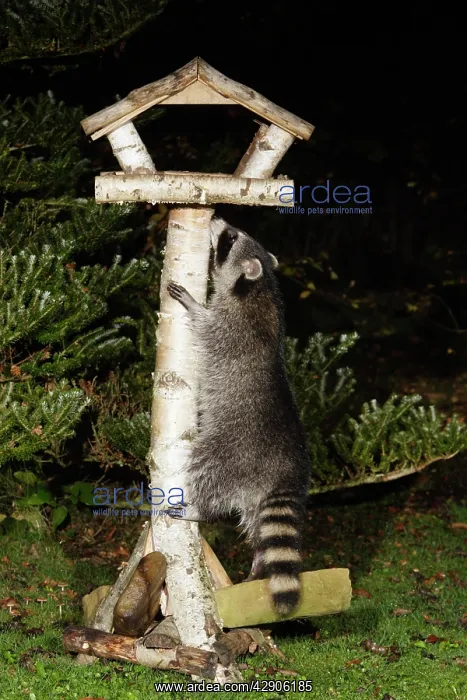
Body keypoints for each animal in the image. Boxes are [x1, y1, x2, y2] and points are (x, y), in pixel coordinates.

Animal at [167, 217, 311, 616]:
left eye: (229, 240)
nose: (218, 219)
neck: (261, 287)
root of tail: (287, 467)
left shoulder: (233, 327)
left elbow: (206, 327)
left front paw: (194, 305)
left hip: (232, 450)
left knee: (205, 469)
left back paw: (197, 509)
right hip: (253, 488)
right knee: (257, 522)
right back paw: (260, 556)